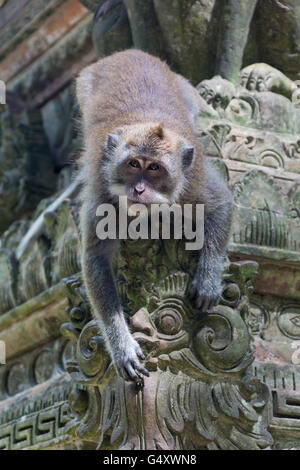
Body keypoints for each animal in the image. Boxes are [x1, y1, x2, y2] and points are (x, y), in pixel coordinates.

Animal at [75, 49, 232, 384]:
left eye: (155, 168)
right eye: (134, 164)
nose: (139, 189)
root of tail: (129, 52)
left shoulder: (192, 182)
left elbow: (220, 204)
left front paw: (209, 278)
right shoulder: (102, 195)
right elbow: (96, 259)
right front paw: (121, 346)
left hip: (184, 87)